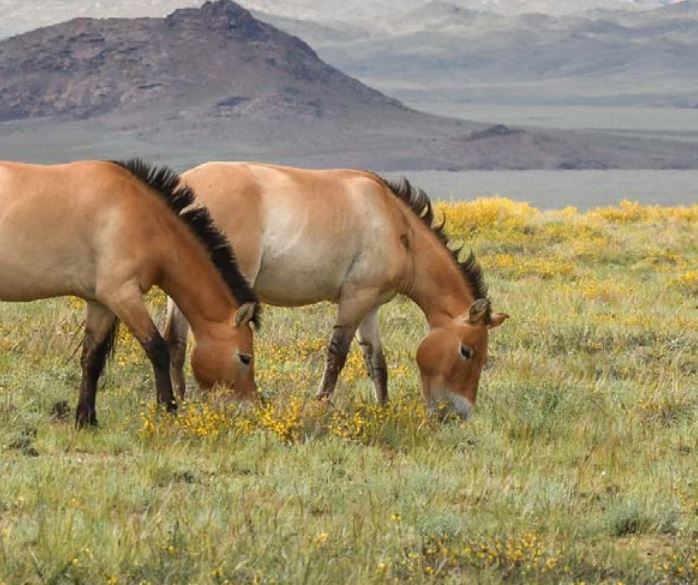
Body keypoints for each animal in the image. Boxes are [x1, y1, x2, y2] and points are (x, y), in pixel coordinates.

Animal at [0, 159, 259, 427]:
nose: (250, 407)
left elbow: (91, 358)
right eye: (245, 358)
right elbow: (157, 349)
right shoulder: (123, 295)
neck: (139, 216)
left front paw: (86, 419)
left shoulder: (101, 304)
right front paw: (168, 409)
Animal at [164, 162, 508, 420]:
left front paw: (383, 409)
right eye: (467, 351)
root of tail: (186, 184)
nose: (459, 413)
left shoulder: (371, 307)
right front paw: (322, 405)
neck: (397, 225)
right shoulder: (355, 299)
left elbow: (376, 363)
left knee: (176, 342)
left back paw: (180, 399)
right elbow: (337, 356)